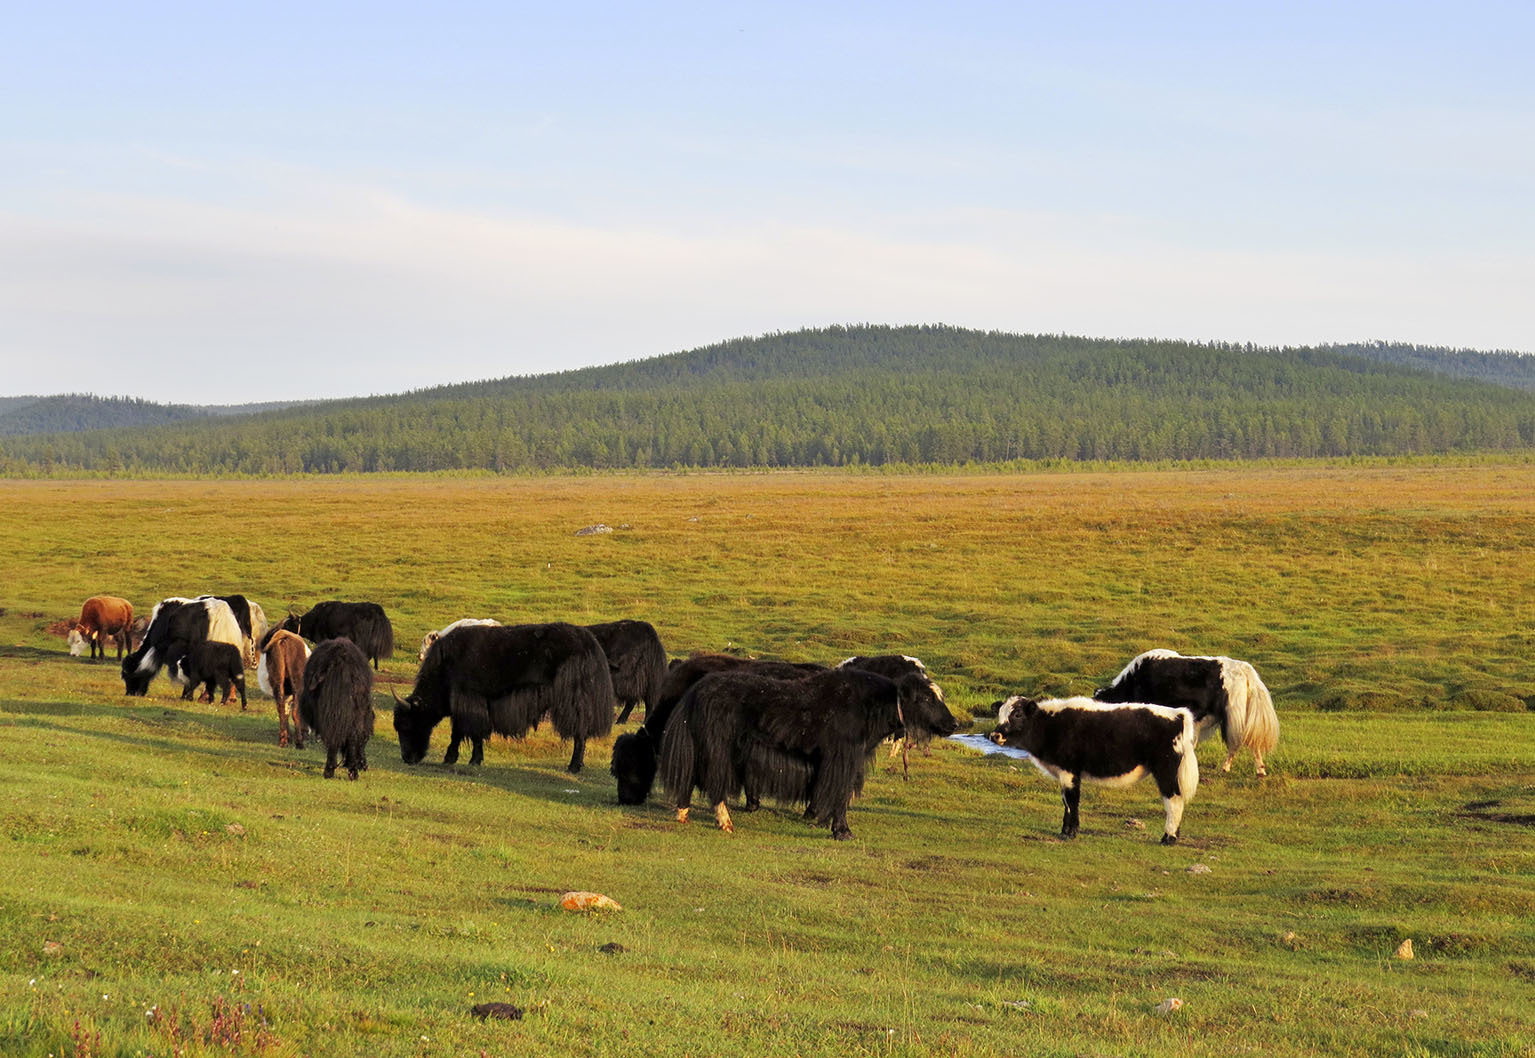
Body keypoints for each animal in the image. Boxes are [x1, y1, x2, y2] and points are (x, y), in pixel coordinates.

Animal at [988, 697, 1203, 847]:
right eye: (1000, 713)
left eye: (1017, 714)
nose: (995, 735)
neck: (1050, 725)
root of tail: (1178, 714)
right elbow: (1066, 801)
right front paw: (1065, 831)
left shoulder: (1069, 771)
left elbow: (1071, 800)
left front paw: (1070, 833)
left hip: (1165, 770)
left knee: (1174, 800)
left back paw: (1168, 838)